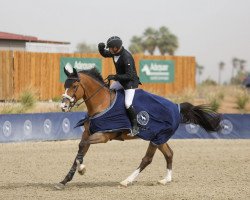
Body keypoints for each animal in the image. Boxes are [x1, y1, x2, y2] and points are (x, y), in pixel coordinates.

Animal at [55, 66, 222, 190]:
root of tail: (177, 107)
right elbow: (80, 150)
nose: (63, 106)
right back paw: (165, 180)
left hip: (156, 138)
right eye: (65, 86)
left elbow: (82, 147)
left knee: (147, 159)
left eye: (74, 86)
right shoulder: (88, 133)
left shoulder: (103, 136)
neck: (101, 103)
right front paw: (65, 180)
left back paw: (126, 181)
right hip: (160, 138)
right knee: (169, 154)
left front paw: (82, 169)